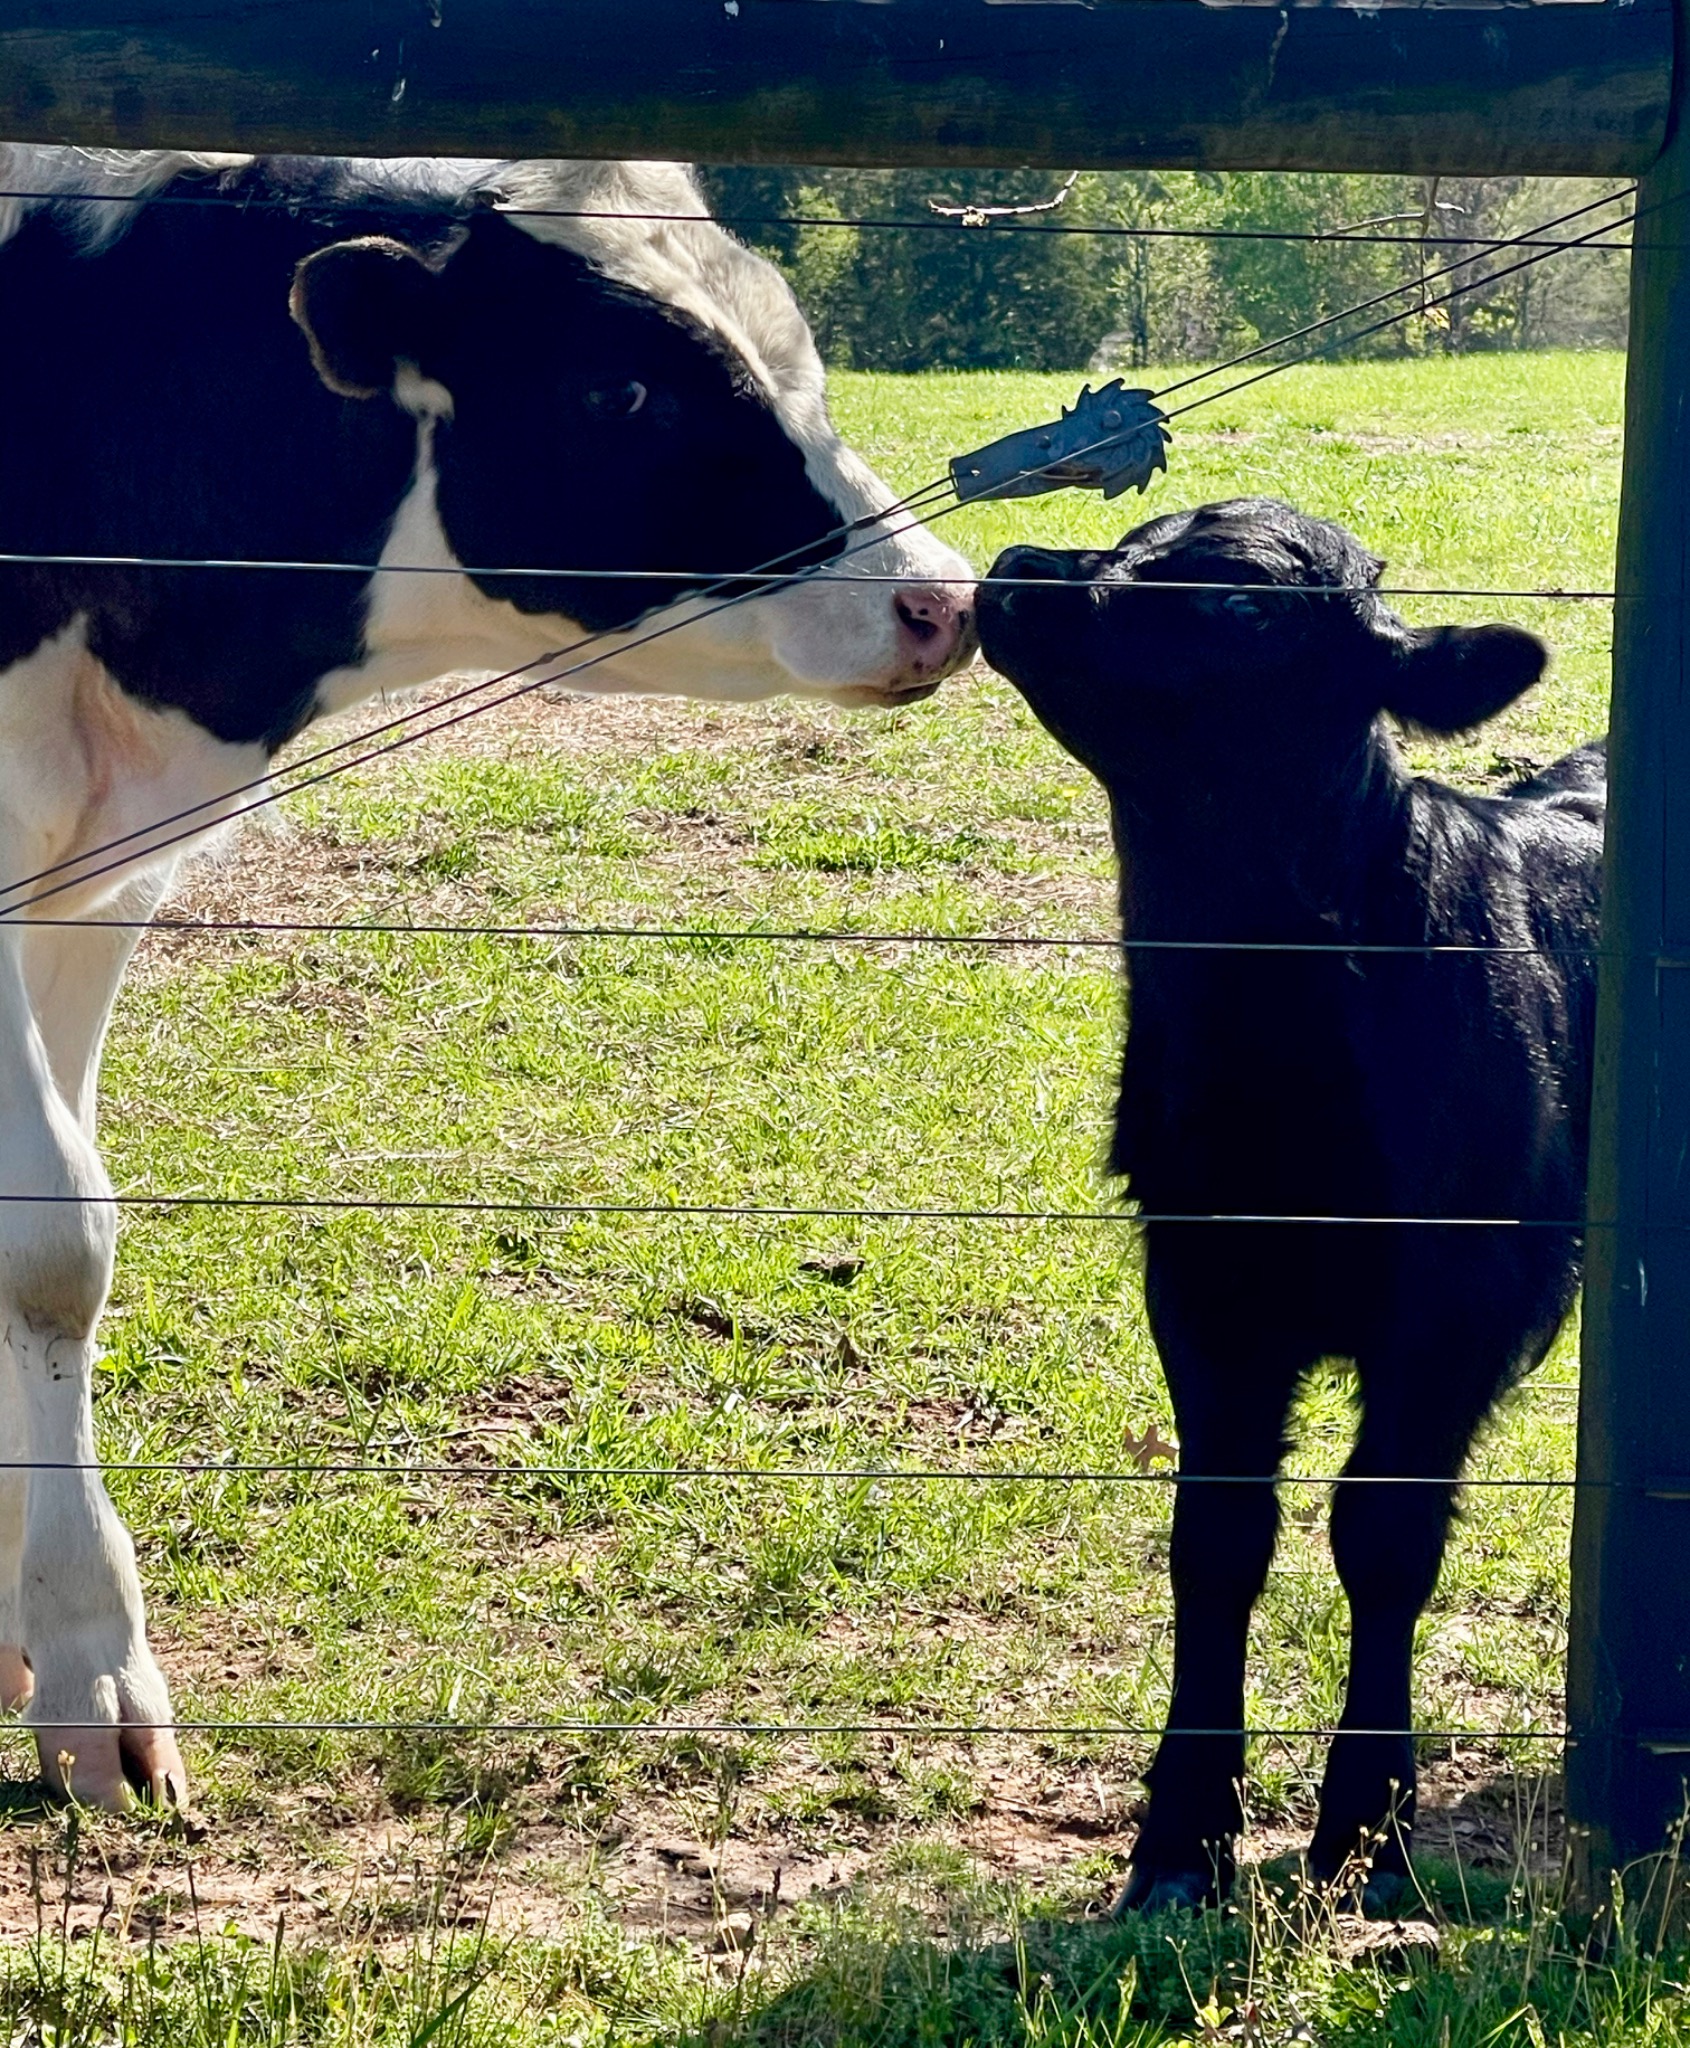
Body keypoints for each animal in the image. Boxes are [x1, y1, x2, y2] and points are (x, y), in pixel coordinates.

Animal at [0, 147, 975, 1811]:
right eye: (618, 390)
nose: (943, 603)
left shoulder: (96, 877)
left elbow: (66, 1222)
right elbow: (45, 1240)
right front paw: (87, 1659)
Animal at [977, 498, 1600, 1912]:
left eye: (1243, 602)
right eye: (1137, 538)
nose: (1021, 568)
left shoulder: (1452, 1303)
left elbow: (1383, 1531)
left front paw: (1367, 1819)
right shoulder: (1201, 1286)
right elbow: (1216, 1535)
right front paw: (1178, 1834)